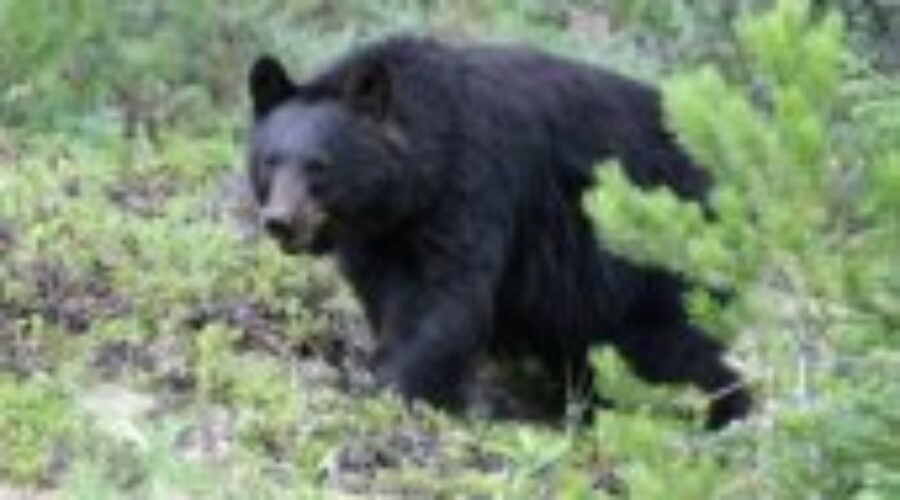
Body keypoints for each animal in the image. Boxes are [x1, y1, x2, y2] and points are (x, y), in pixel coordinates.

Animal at [245, 35, 752, 430]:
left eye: (319, 167)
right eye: (270, 161)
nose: (280, 221)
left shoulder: (476, 186)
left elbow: (449, 298)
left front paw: (393, 388)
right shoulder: (381, 236)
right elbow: (390, 299)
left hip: (670, 263)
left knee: (691, 349)